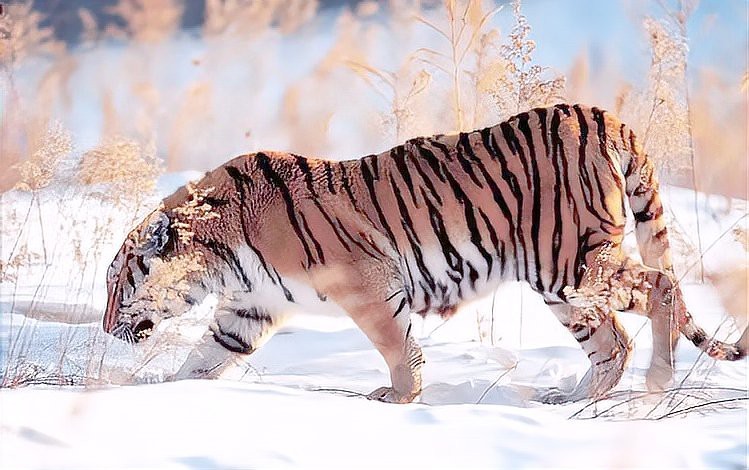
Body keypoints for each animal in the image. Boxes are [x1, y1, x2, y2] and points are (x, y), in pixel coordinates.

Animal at [103, 104, 747, 404]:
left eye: (117, 283)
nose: (108, 329)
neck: (222, 255)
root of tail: (594, 113)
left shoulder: (367, 283)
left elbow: (396, 345)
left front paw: (399, 397)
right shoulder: (249, 308)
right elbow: (204, 357)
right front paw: (157, 393)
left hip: (573, 262)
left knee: (662, 289)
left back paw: (655, 384)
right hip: (563, 283)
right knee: (612, 342)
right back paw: (568, 398)